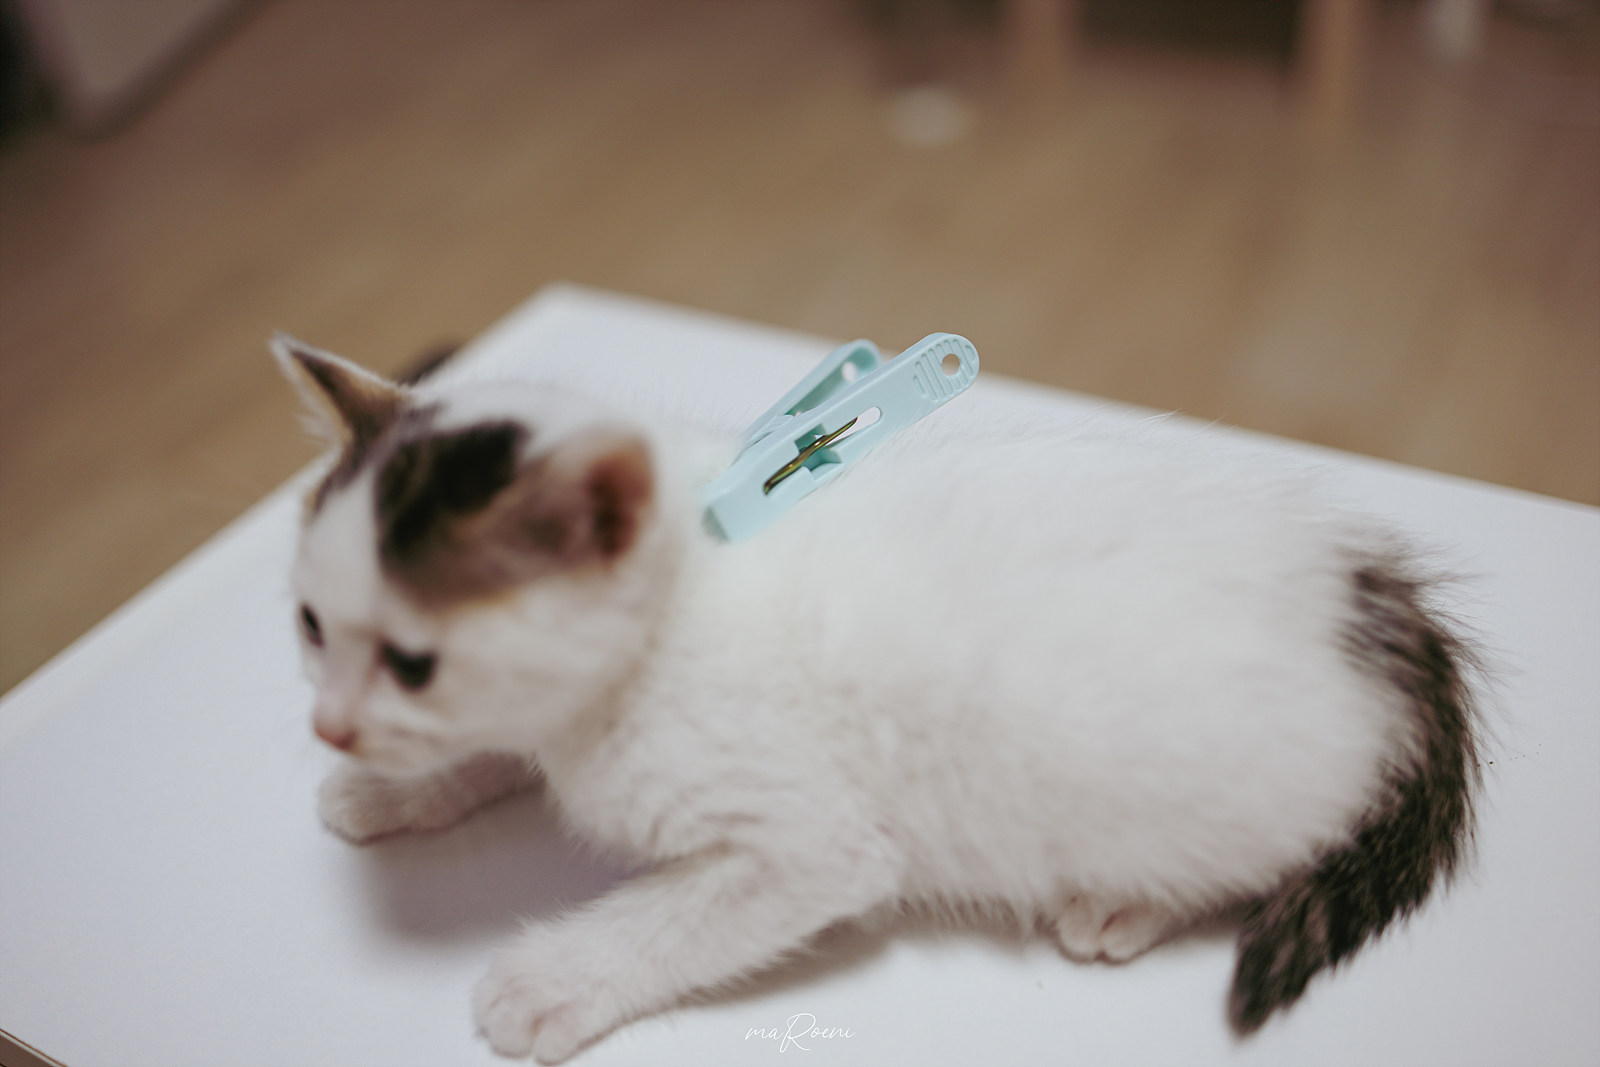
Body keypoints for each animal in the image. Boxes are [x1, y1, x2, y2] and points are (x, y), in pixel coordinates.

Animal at [274, 334, 1480, 1064]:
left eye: (414, 661)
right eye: (312, 625)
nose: (328, 722)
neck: (681, 597)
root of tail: (1370, 599)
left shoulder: (815, 847)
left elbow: (676, 916)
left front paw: (549, 978)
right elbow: (497, 748)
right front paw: (392, 786)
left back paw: (1125, 903)